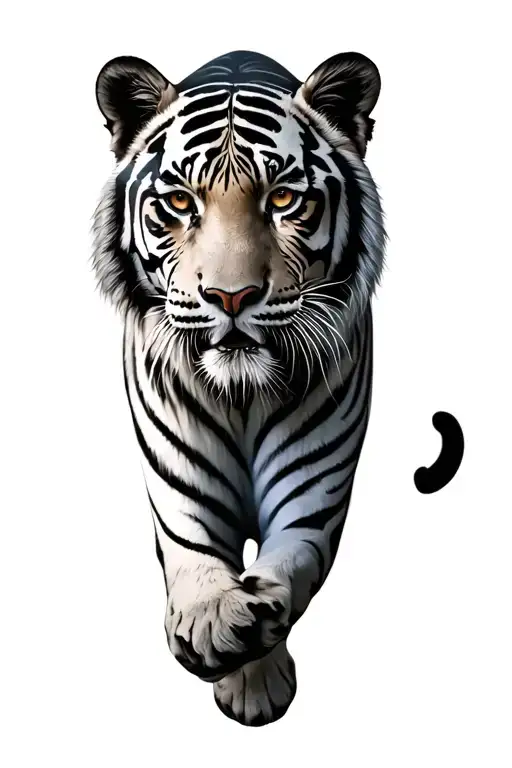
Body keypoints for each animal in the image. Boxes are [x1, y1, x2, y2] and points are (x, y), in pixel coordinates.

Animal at [92, 49, 385, 727]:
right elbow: (194, 555)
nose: (231, 297)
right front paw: (213, 622)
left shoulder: (312, 491)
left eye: (283, 198)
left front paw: (254, 667)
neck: (243, 395)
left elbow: (294, 561)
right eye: (179, 202)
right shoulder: (181, 487)